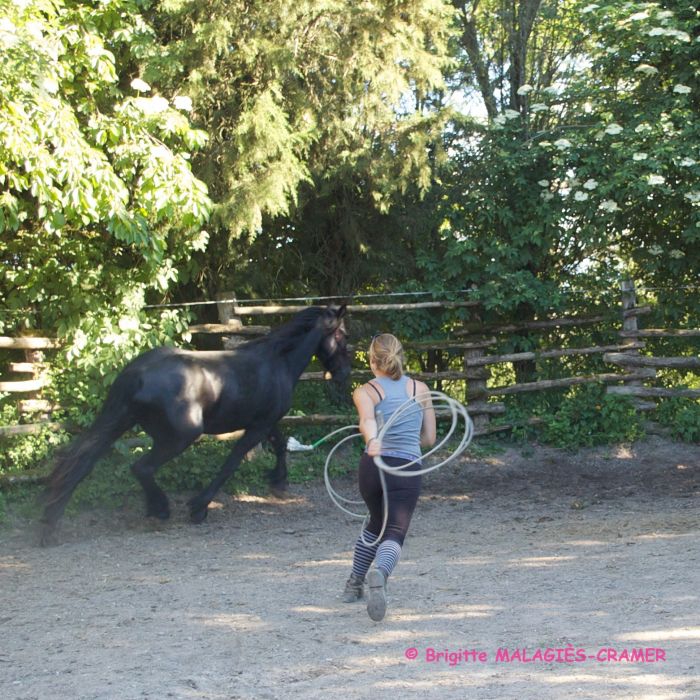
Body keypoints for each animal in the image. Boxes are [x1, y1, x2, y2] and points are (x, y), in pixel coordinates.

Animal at [39, 304, 350, 544]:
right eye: (342, 335)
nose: (344, 373)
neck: (276, 361)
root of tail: (138, 373)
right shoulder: (257, 426)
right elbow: (231, 464)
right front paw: (199, 507)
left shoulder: (264, 421)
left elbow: (280, 444)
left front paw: (279, 482)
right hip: (180, 437)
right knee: (142, 467)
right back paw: (160, 509)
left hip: (122, 423)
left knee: (85, 462)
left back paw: (52, 523)